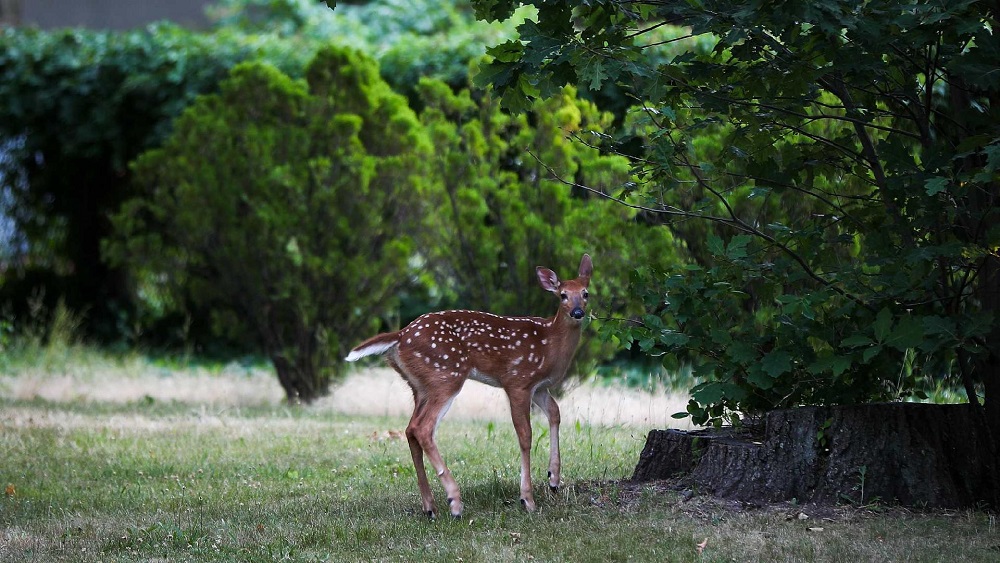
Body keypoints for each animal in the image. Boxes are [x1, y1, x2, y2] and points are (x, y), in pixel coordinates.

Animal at [346, 253, 592, 516]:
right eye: (563, 294)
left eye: (585, 293)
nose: (577, 312)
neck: (550, 344)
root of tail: (401, 335)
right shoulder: (518, 380)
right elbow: (525, 435)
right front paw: (527, 499)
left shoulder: (540, 387)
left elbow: (555, 413)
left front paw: (553, 478)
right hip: (446, 375)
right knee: (423, 428)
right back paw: (454, 502)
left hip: (419, 386)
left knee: (410, 429)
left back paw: (430, 506)